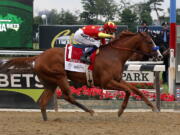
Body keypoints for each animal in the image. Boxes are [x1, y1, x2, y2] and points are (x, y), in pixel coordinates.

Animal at [0, 31, 162, 121]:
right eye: (150, 41)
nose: (159, 55)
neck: (114, 54)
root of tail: (38, 57)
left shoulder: (118, 79)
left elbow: (137, 90)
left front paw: (153, 107)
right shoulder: (106, 82)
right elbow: (128, 91)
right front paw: (120, 111)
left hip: (50, 83)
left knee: (43, 102)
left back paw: (46, 120)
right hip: (60, 77)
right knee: (68, 96)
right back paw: (91, 111)